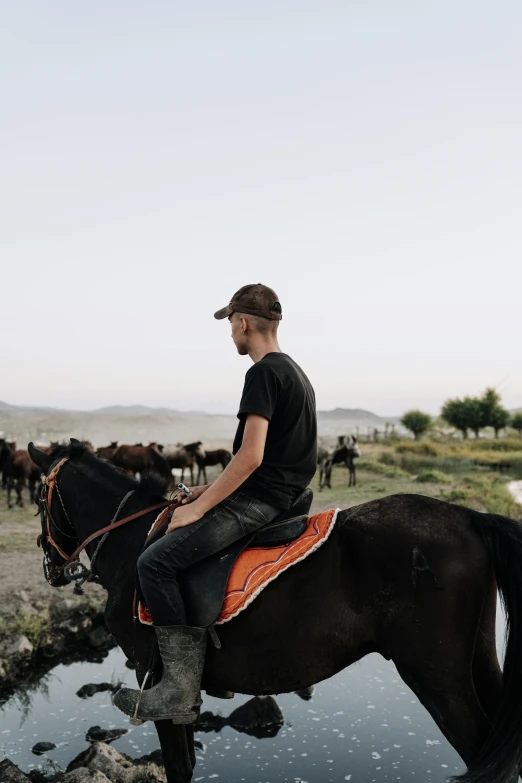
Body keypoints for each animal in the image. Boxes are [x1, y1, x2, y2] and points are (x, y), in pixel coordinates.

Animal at [27, 440, 520, 783]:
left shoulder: (153, 679)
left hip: (437, 676)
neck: (131, 546)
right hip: (476, 658)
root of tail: (470, 516)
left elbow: (179, 765)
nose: (51, 567)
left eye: (36, 498)